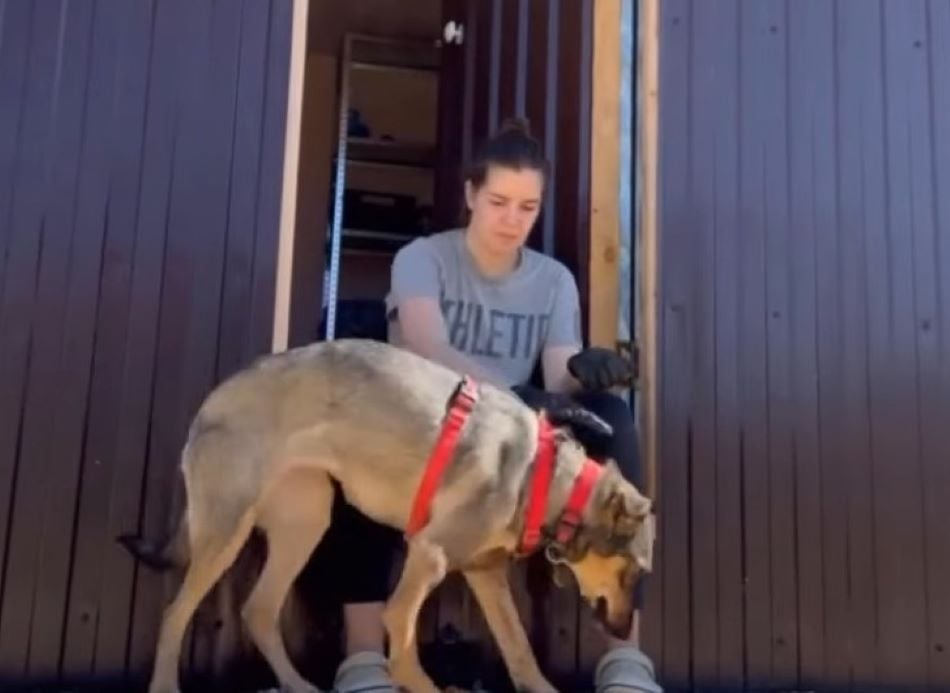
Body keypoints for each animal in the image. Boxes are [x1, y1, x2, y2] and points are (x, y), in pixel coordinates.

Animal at [117, 340, 656, 692]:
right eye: (635, 572)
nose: (620, 629)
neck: (548, 475)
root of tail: (214, 398)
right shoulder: (431, 556)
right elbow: (402, 639)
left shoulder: (484, 571)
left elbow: (519, 647)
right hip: (227, 528)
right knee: (175, 612)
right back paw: (165, 686)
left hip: (303, 525)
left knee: (259, 611)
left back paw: (297, 685)